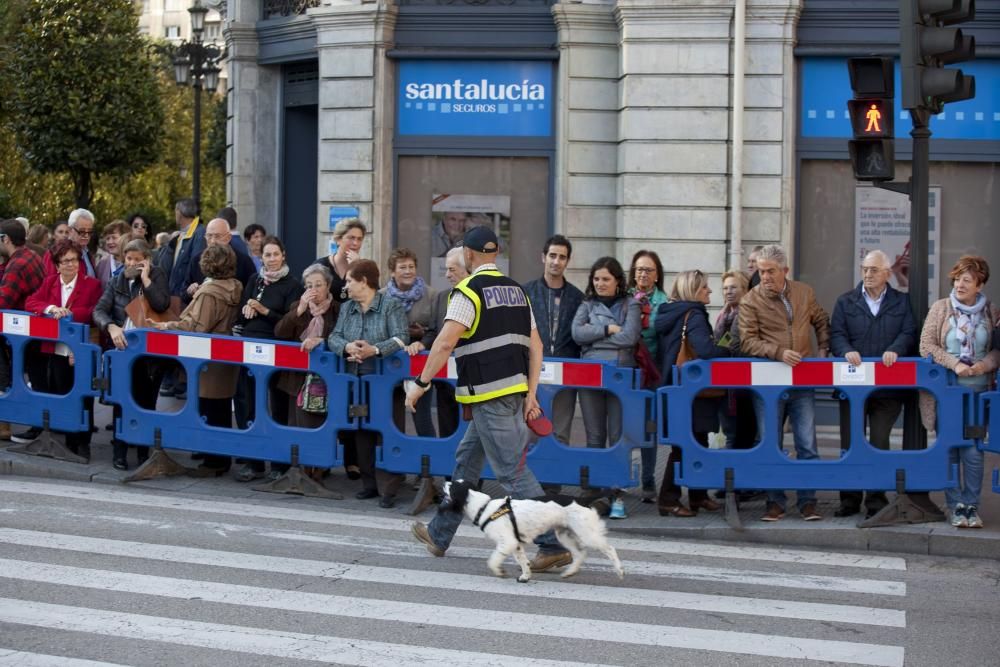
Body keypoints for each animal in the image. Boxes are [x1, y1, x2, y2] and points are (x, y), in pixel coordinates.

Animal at [442, 480, 620, 584]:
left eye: (451, 486)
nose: (445, 481)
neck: (484, 507)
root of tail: (582, 499)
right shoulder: (515, 544)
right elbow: (523, 562)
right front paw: (525, 576)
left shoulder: (507, 542)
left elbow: (493, 560)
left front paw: (500, 571)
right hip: (564, 534)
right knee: (580, 554)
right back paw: (569, 573)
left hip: (588, 535)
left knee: (610, 549)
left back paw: (619, 571)